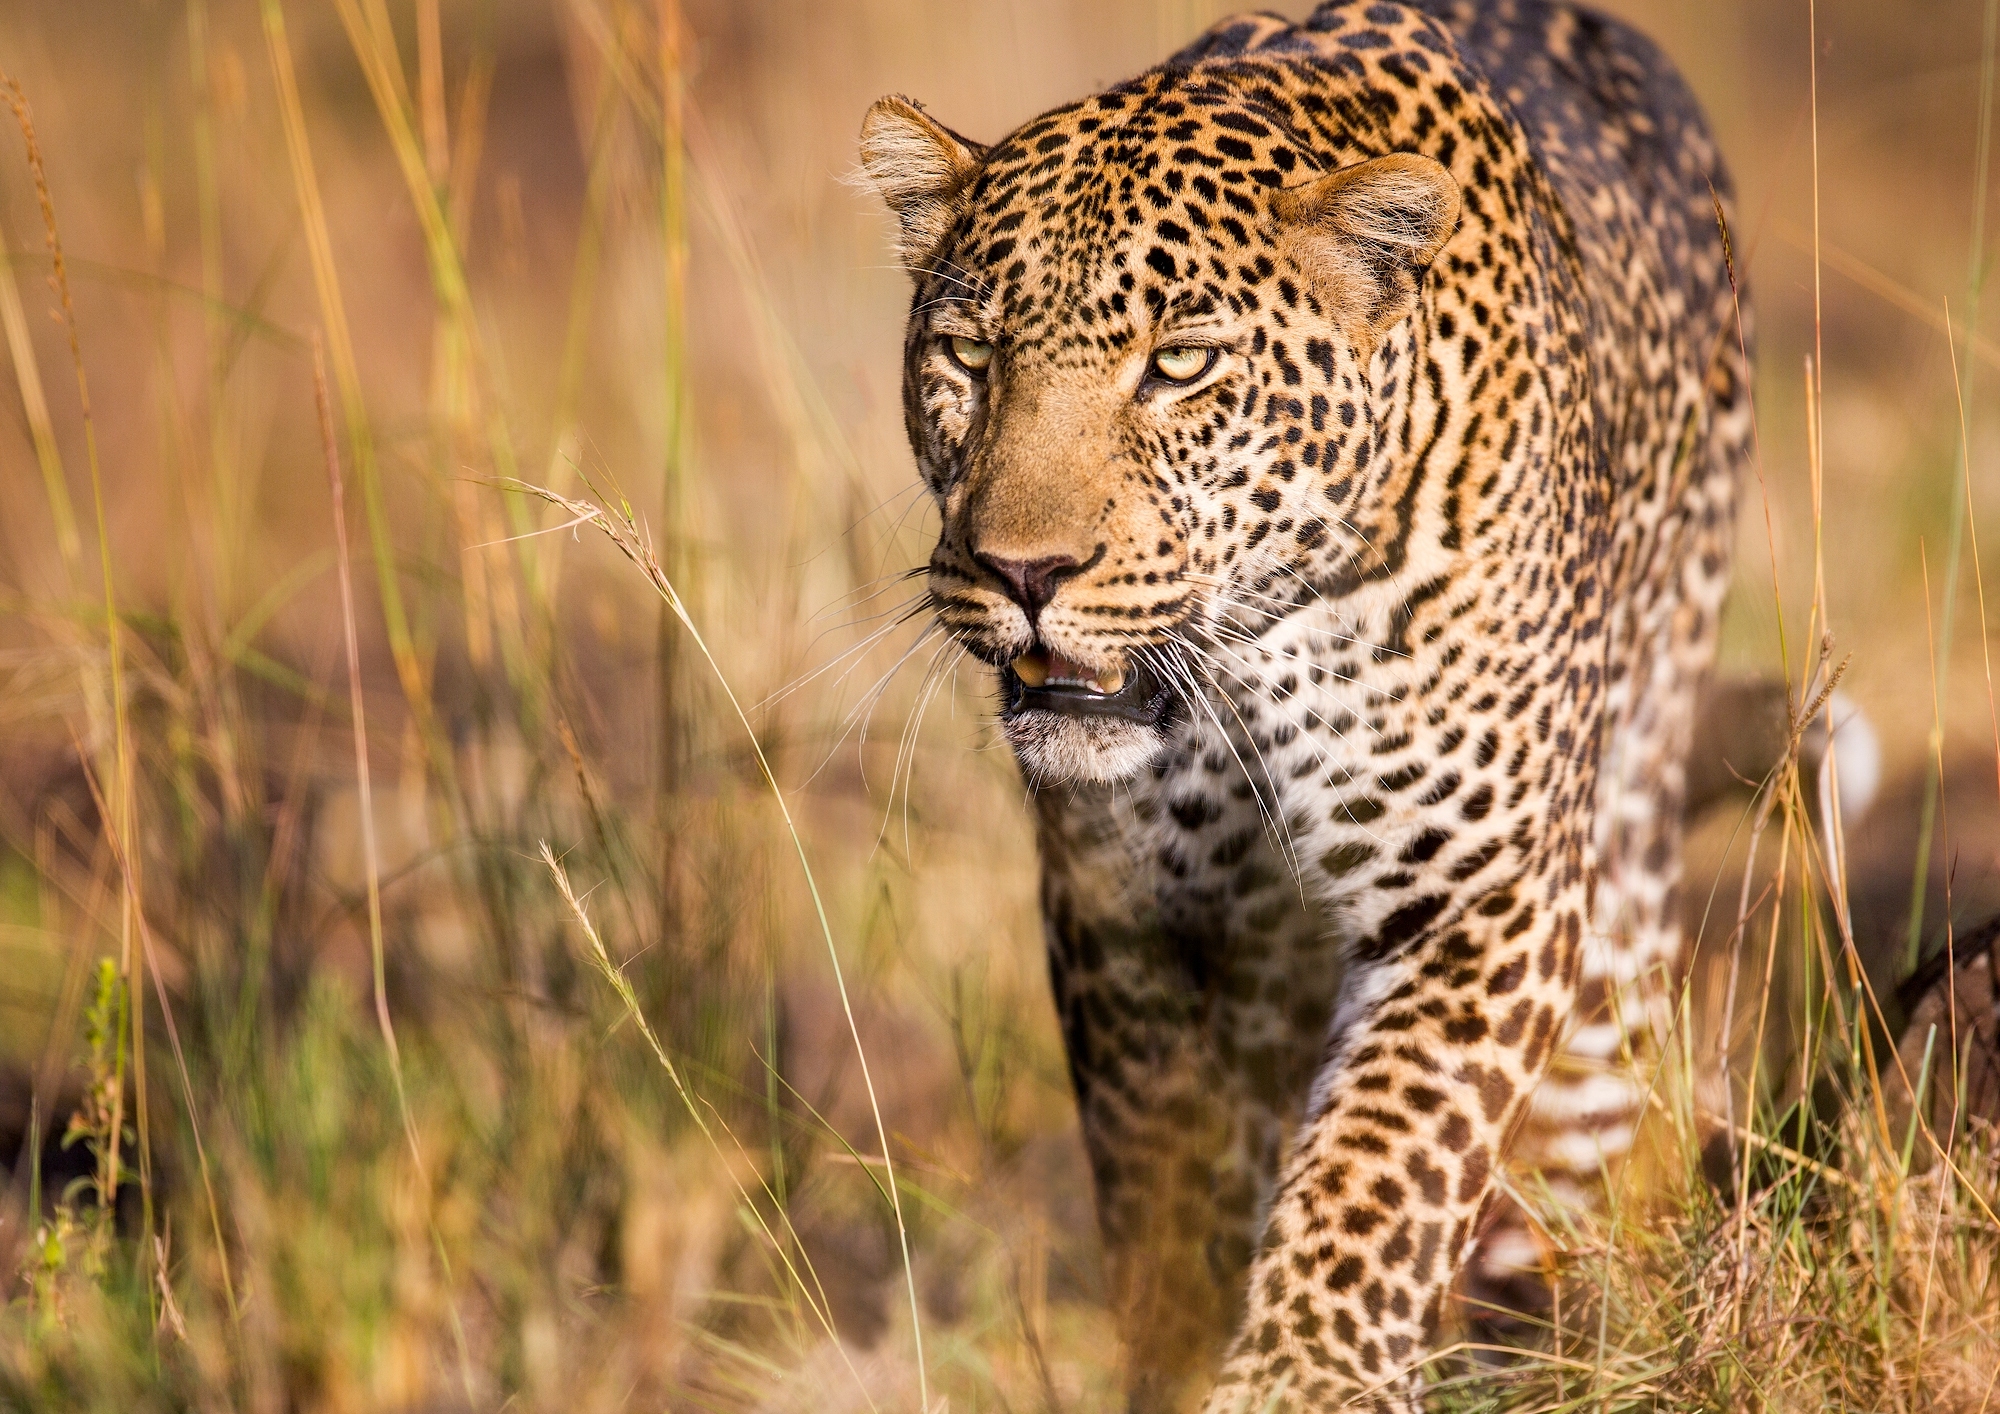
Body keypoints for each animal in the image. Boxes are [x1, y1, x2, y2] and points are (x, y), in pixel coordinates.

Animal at [860, 5, 1752, 1408]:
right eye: (968, 354)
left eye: (1177, 365)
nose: (1023, 572)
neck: (1243, 665)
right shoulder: (1125, 920)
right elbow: (1166, 1189)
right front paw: (1185, 1350)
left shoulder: (1476, 898)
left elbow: (1378, 1167)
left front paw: (1300, 1373)